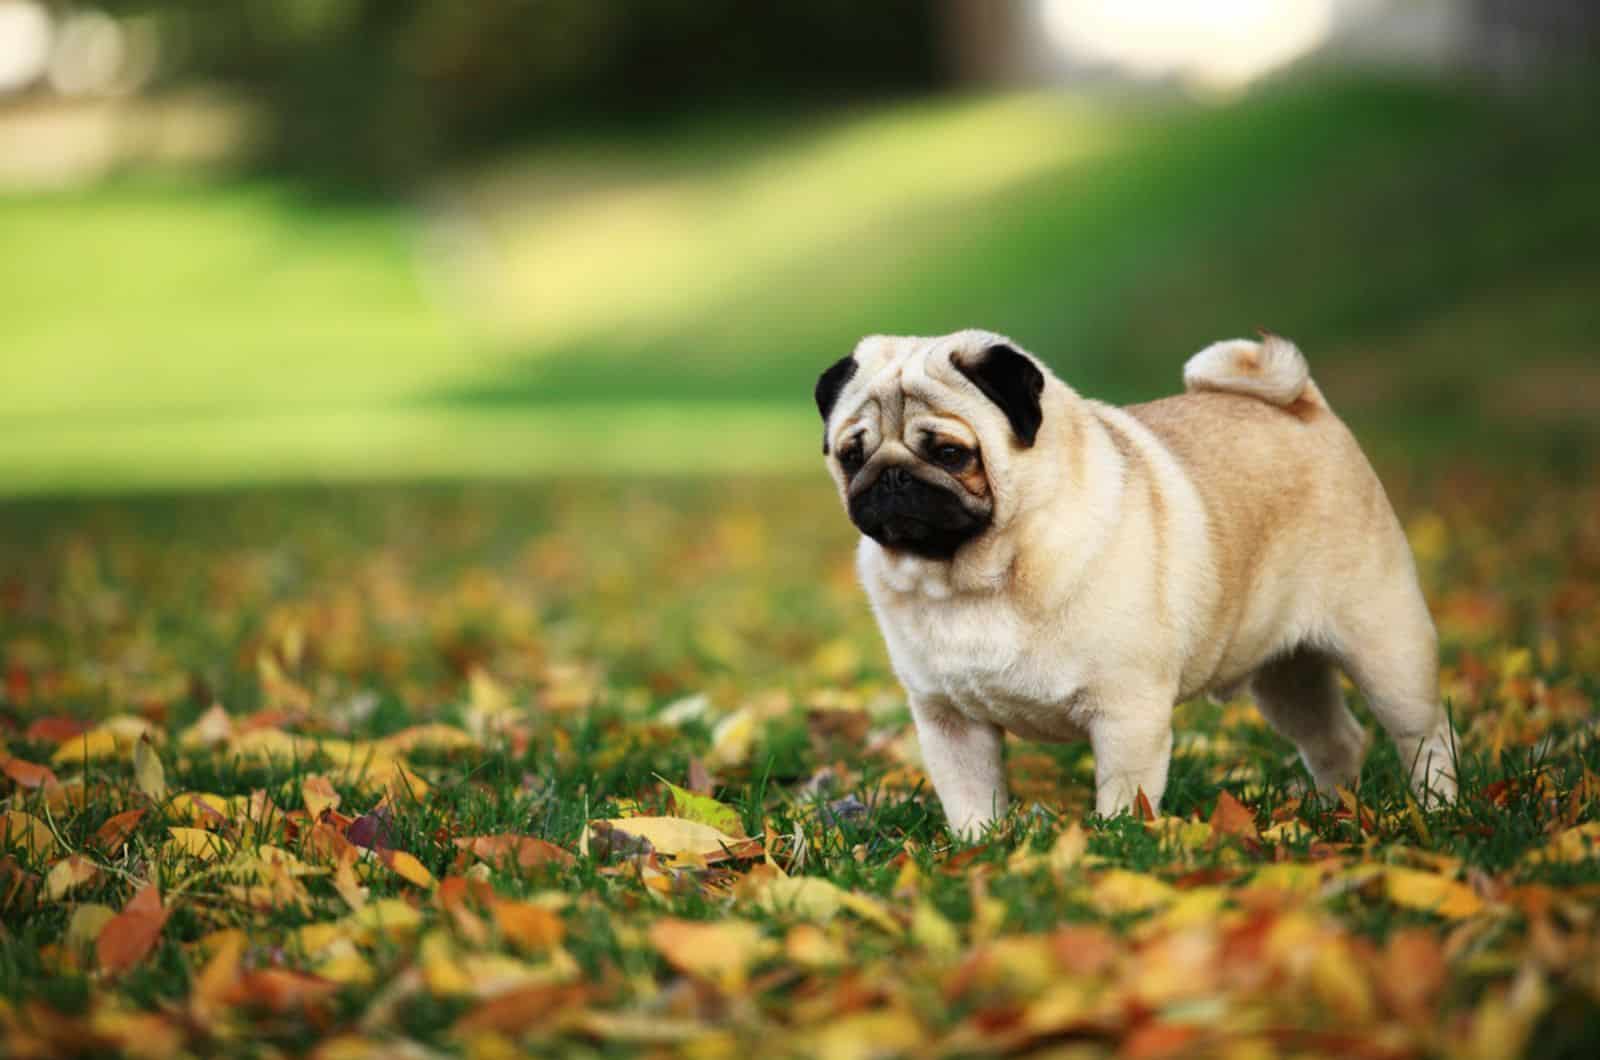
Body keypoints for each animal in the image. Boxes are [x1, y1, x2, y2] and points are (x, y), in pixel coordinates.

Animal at [819, 333, 1459, 839]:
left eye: (952, 454)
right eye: (852, 455)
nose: (891, 477)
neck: (973, 579)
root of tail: (1305, 405)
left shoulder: (1126, 711)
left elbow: (1125, 793)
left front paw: (1114, 845)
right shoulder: (949, 721)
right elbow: (972, 800)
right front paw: (981, 853)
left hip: (1386, 646)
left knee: (1423, 733)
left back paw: (1437, 808)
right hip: (1286, 675)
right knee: (1335, 740)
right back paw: (1332, 814)